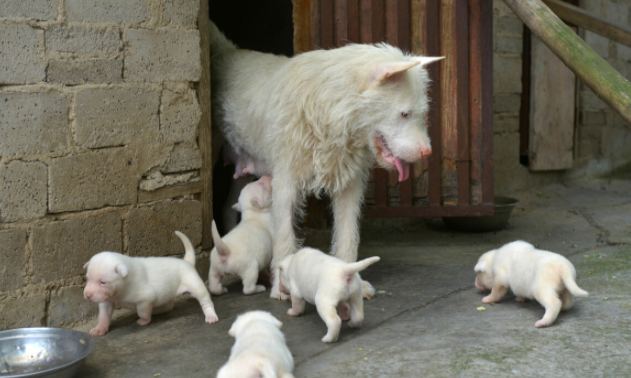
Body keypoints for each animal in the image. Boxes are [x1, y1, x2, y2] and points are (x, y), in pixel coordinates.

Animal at [84, 232, 218, 336]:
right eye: (87, 279)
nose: (87, 295)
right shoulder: (106, 301)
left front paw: (144, 321)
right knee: (168, 305)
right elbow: (104, 316)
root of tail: (187, 262)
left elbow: (142, 312)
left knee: (205, 301)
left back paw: (210, 316)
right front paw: (99, 329)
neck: (121, 287)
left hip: (195, 285)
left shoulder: (145, 299)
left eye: (103, 282)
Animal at [210, 21, 442, 302]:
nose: (427, 154)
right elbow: (284, 237)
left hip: (243, 167)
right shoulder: (285, 184)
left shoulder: (349, 187)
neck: (332, 112)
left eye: (421, 114)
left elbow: (348, 237)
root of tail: (226, 53)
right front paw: (280, 288)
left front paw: (354, 282)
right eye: (404, 114)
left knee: (227, 206)